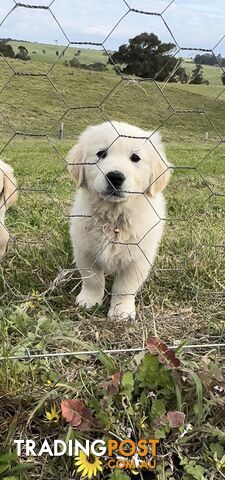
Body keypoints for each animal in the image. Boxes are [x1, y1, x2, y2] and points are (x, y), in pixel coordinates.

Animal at [67, 122, 171, 320]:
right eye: (101, 154)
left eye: (135, 158)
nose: (115, 177)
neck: (114, 217)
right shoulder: (85, 251)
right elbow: (92, 280)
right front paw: (89, 300)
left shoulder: (138, 258)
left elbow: (125, 287)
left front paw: (121, 311)